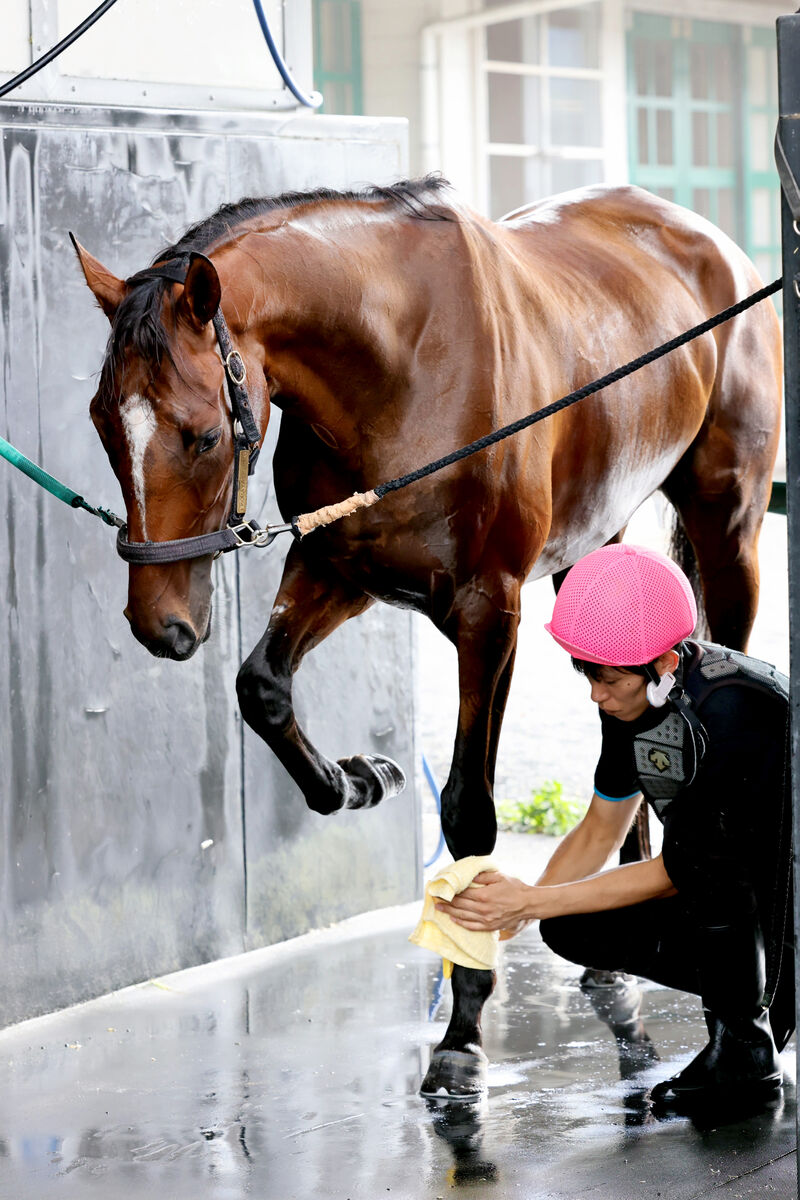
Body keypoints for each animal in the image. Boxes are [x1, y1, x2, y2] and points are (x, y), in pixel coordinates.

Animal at [73, 175, 782, 1099]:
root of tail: (712, 241)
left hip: (728, 529)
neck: (400, 361)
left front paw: (464, 1025)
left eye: (200, 434)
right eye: (101, 423)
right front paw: (355, 779)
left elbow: (469, 810)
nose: (160, 625)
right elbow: (261, 687)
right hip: (594, 551)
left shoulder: (489, 615)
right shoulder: (335, 566)